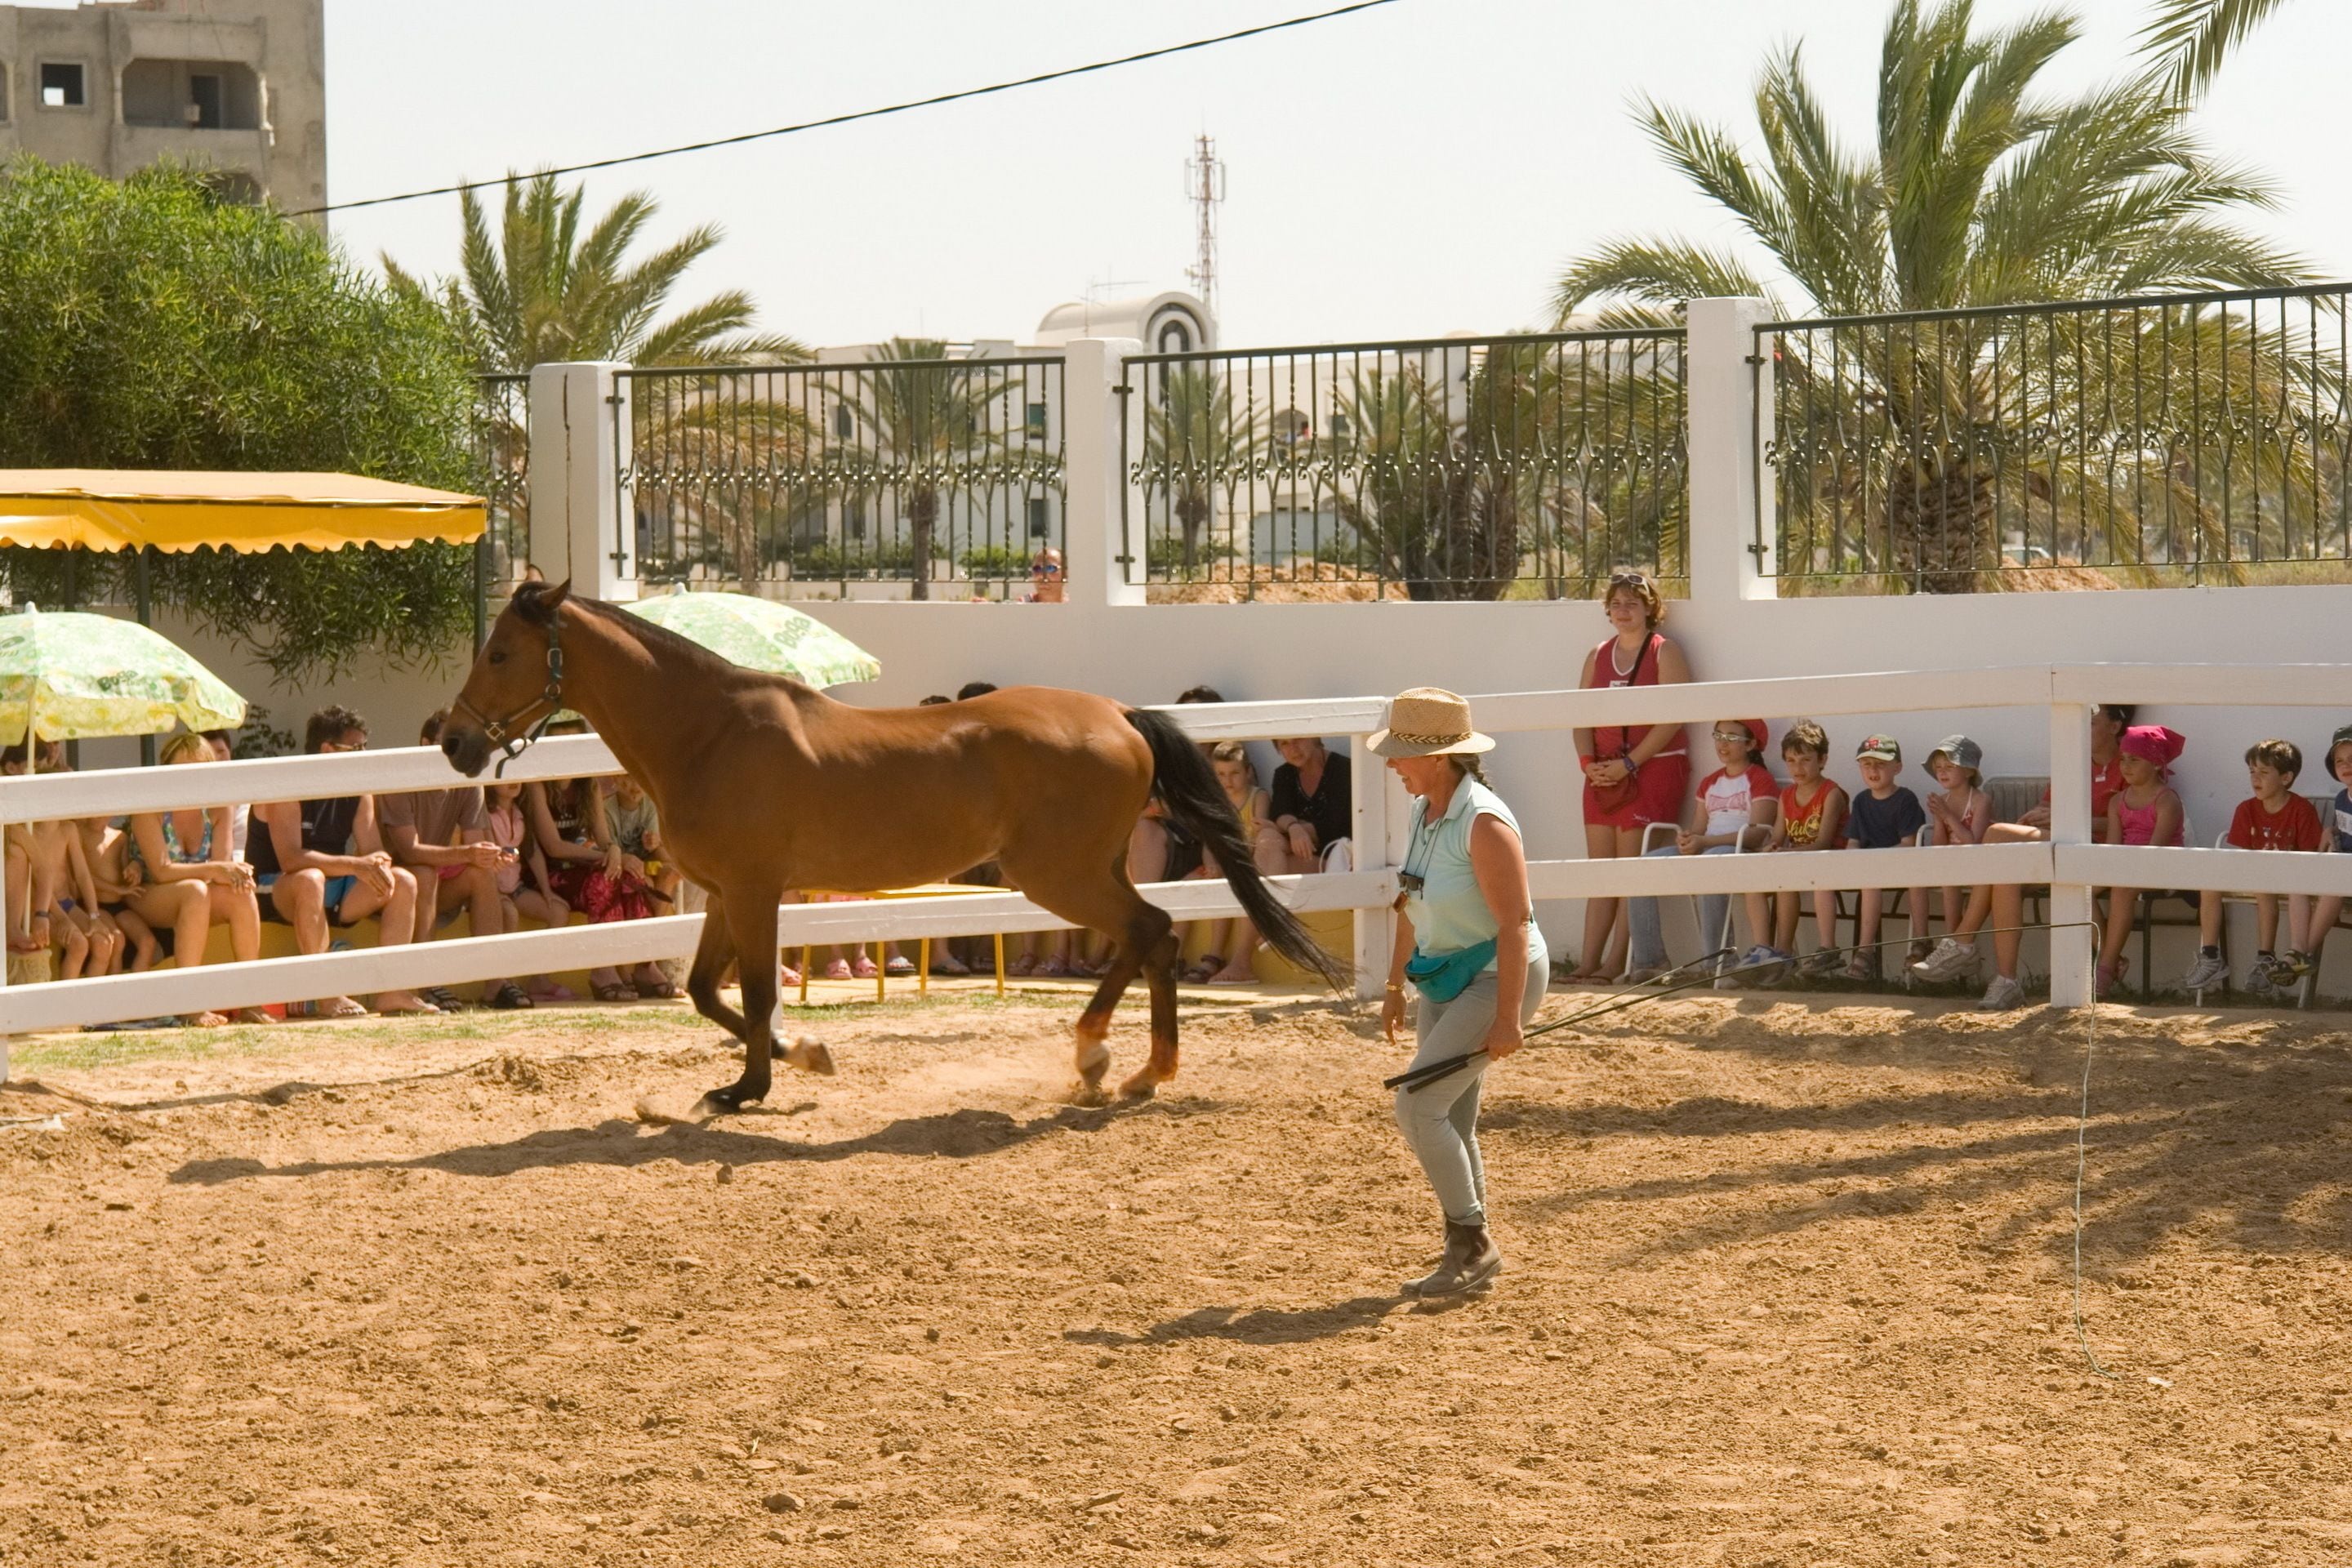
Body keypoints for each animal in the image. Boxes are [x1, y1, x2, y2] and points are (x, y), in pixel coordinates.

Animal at [439, 580, 1348, 1109]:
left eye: (501, 652)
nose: (453, 743)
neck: (710, 733)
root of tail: (1120, 715)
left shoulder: (757, 890)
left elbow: (756, 992)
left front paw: (751, 1086)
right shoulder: (728, 892)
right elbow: (704, 991)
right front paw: (804, 1055)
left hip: (1057, 874)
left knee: (1150, 932)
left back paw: (1105, 1057)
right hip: (1085, 870)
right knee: (1151, 939)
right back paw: (1132, 1071)